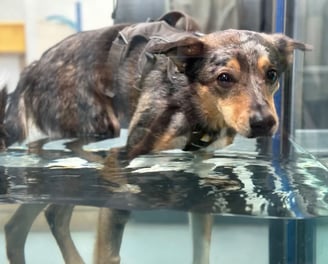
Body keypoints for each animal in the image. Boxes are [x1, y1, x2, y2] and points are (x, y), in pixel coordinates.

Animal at [0, 10, 308, 264]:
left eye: (272, 75)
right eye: (224, 78)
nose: (264, 123)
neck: (191, 100)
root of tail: (31, 69)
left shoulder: (199, 176)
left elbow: (202, 251)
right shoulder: (120, 166)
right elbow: (109, 251)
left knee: (18, 227)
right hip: (94, 131)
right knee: (54, 212)